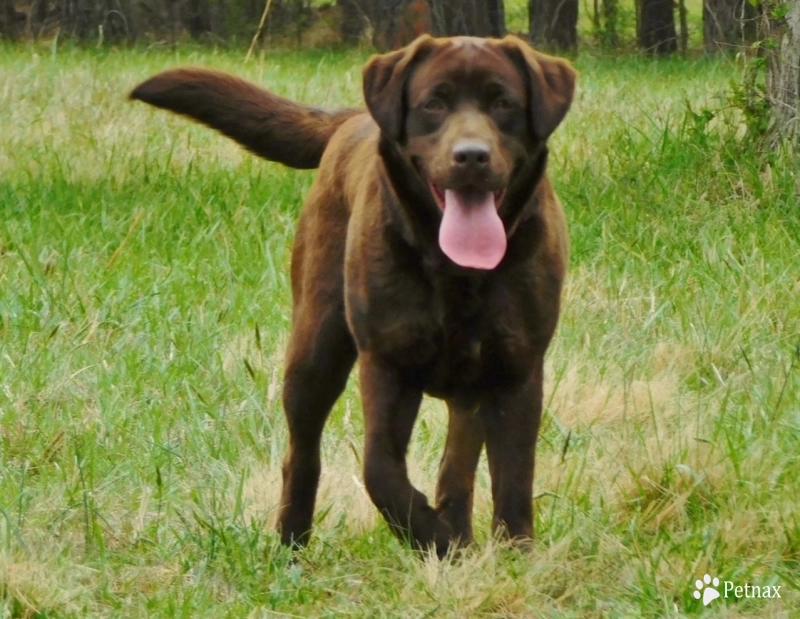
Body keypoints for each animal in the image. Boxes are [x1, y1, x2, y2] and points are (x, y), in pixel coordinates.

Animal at [131, 35, 576, 556]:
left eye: (503, 103)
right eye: (434, 104)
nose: (471, 155)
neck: (456, 271)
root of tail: (352, 117)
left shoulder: (518, 369)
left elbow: (514, 480)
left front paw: (508, 556)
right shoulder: (385, 361)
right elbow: (380, 470)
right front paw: (434, 539)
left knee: (457, 464)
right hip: (314, 347)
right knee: (302, 454)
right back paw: (292, 545)